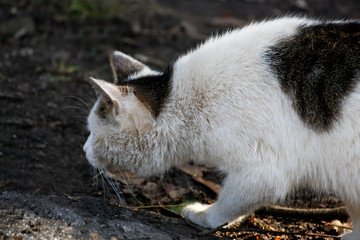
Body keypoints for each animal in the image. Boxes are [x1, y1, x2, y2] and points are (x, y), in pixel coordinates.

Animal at [83, 15, 360, 239]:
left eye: (93, 132)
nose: (84, 149)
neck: (181, 97)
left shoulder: (261, 172)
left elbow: (230, 203)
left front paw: (205, 216)